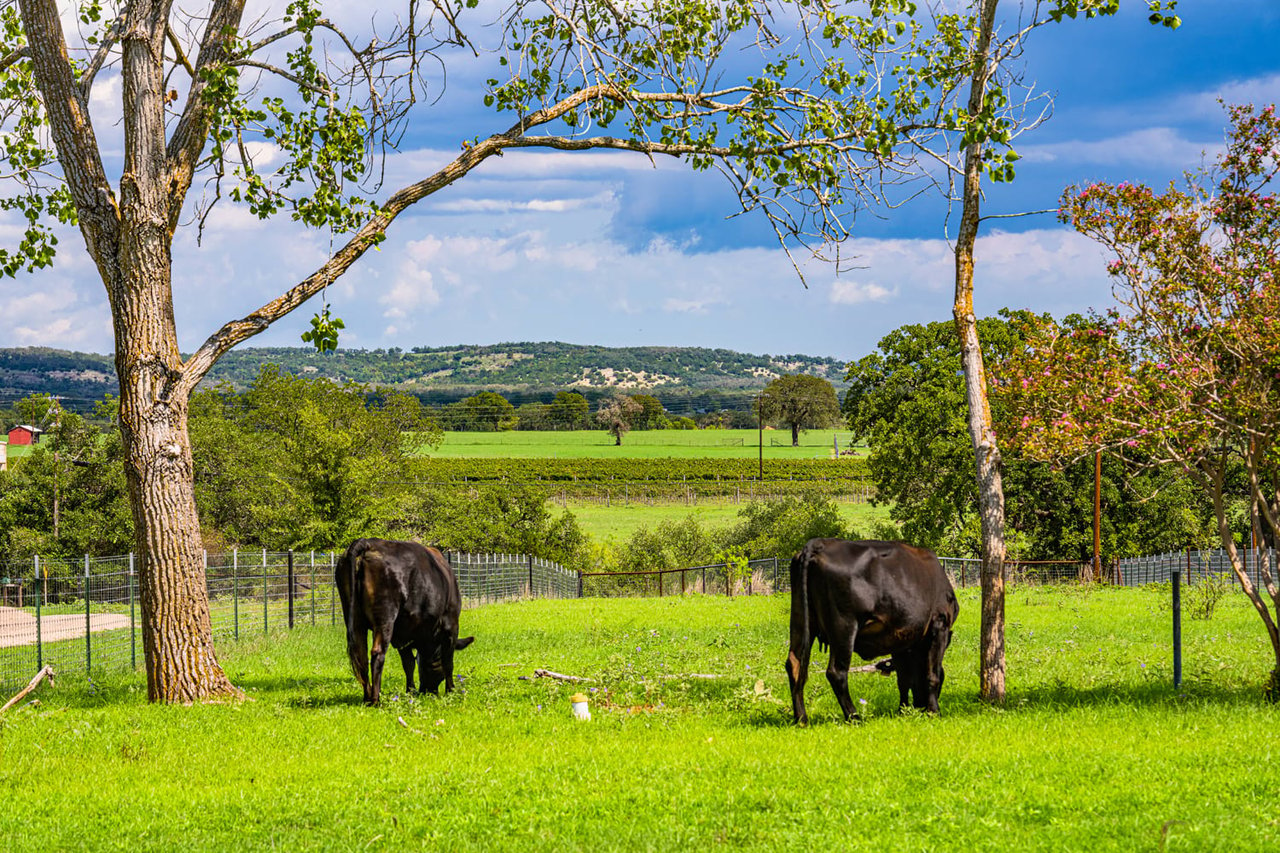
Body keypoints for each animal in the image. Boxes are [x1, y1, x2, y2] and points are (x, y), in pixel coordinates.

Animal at [335, 537, 476, 701]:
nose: (428, 691)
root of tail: (367, 542)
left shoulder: (402, 636)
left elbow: (408, 663)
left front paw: (411, 692)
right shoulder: (451, 624)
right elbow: (448, 661)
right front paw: (451, 691)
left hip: (353, 617)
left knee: (361, 656)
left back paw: (367, 697)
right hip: (385, 616)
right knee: (377, 653)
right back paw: (376, 700)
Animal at [783, 535, 957, 722]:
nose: (920, 706)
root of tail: (819, 544)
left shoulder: (901, 639)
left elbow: (903, 679)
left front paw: (902, 710)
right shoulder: (939, 626)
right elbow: (932, 674)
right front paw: (934, 711)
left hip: (801, 619)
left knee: (794, 664)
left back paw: (801, 718)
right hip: (843, 626)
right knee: (836, 672)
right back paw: (854, 716)